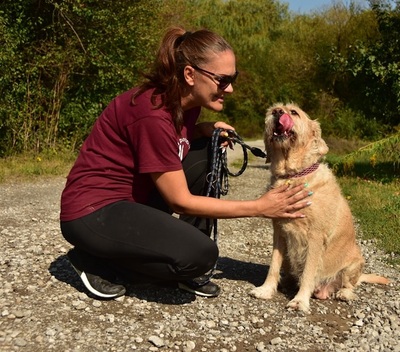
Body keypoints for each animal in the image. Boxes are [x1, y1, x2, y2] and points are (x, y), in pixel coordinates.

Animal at [250, 102, 390, 314]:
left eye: (294, 112)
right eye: (274, 109)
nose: (277, 112)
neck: (294, 174)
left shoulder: (315, 237)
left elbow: (308, 272)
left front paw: (300, 301)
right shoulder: (279, 232)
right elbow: (273, 265)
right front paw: (265, 290)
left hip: (354, 264)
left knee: (349, 284)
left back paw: (343, 293)